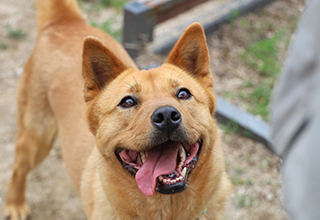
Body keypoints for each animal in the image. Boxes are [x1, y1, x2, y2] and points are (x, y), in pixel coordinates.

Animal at [3, 0, 231, 220]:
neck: (165, 210)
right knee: (18, 170)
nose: (166, 115)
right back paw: (15, 204)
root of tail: (65, 21)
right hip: (36, 140)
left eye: (183, 94)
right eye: (128, 102)